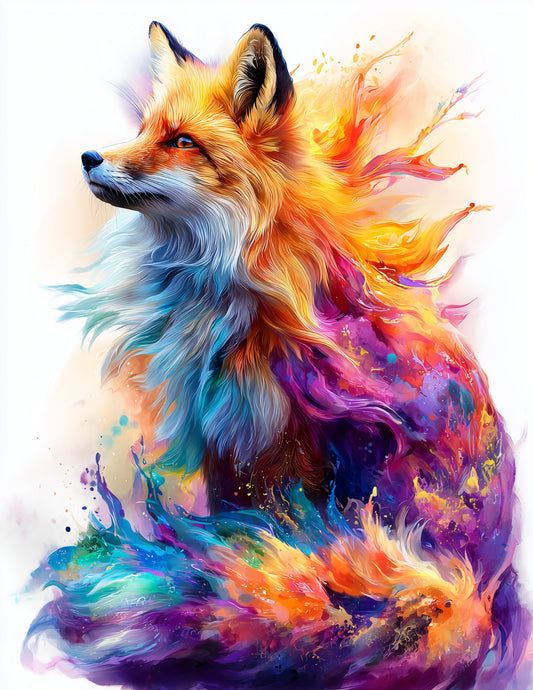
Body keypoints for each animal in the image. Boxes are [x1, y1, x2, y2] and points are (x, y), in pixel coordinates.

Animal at [23, 21, 530, 690]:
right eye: (143, 130)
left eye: (182, 142)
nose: (88, 158)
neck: (227, 287)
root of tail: (480, 586)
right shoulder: (225, 448)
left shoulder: (282, 448)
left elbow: (269, 532)